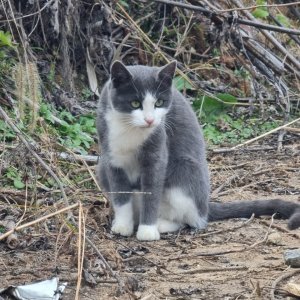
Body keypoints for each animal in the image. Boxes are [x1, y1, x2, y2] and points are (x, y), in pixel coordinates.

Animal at [96, 61, 300, 241]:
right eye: (135, 103)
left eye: (159, 102)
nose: (150, 120)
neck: (130, 130)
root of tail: (206, 206)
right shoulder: (111, 156)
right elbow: (120, 194)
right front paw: (122, 226)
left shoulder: (157, 150)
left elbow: (152, 191)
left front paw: (147, 231)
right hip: (101, 168)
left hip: (184, 169)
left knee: (191, 220)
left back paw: (162, 224)